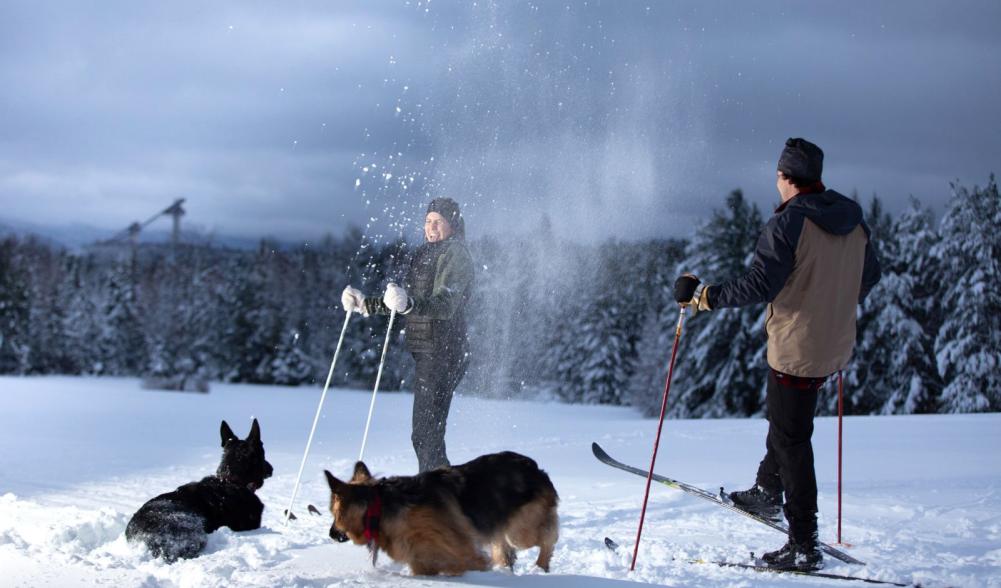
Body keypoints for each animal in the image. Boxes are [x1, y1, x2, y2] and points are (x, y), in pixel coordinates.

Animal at [324, 450, 560, 576]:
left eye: (333, 513)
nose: (330, 534)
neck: (379, 509)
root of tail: (534, 467)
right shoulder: (422, 563)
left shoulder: (467, 555)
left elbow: (471, 563)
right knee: (506, 551)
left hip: (519, 532)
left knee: (548, 537)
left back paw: (541, 567)